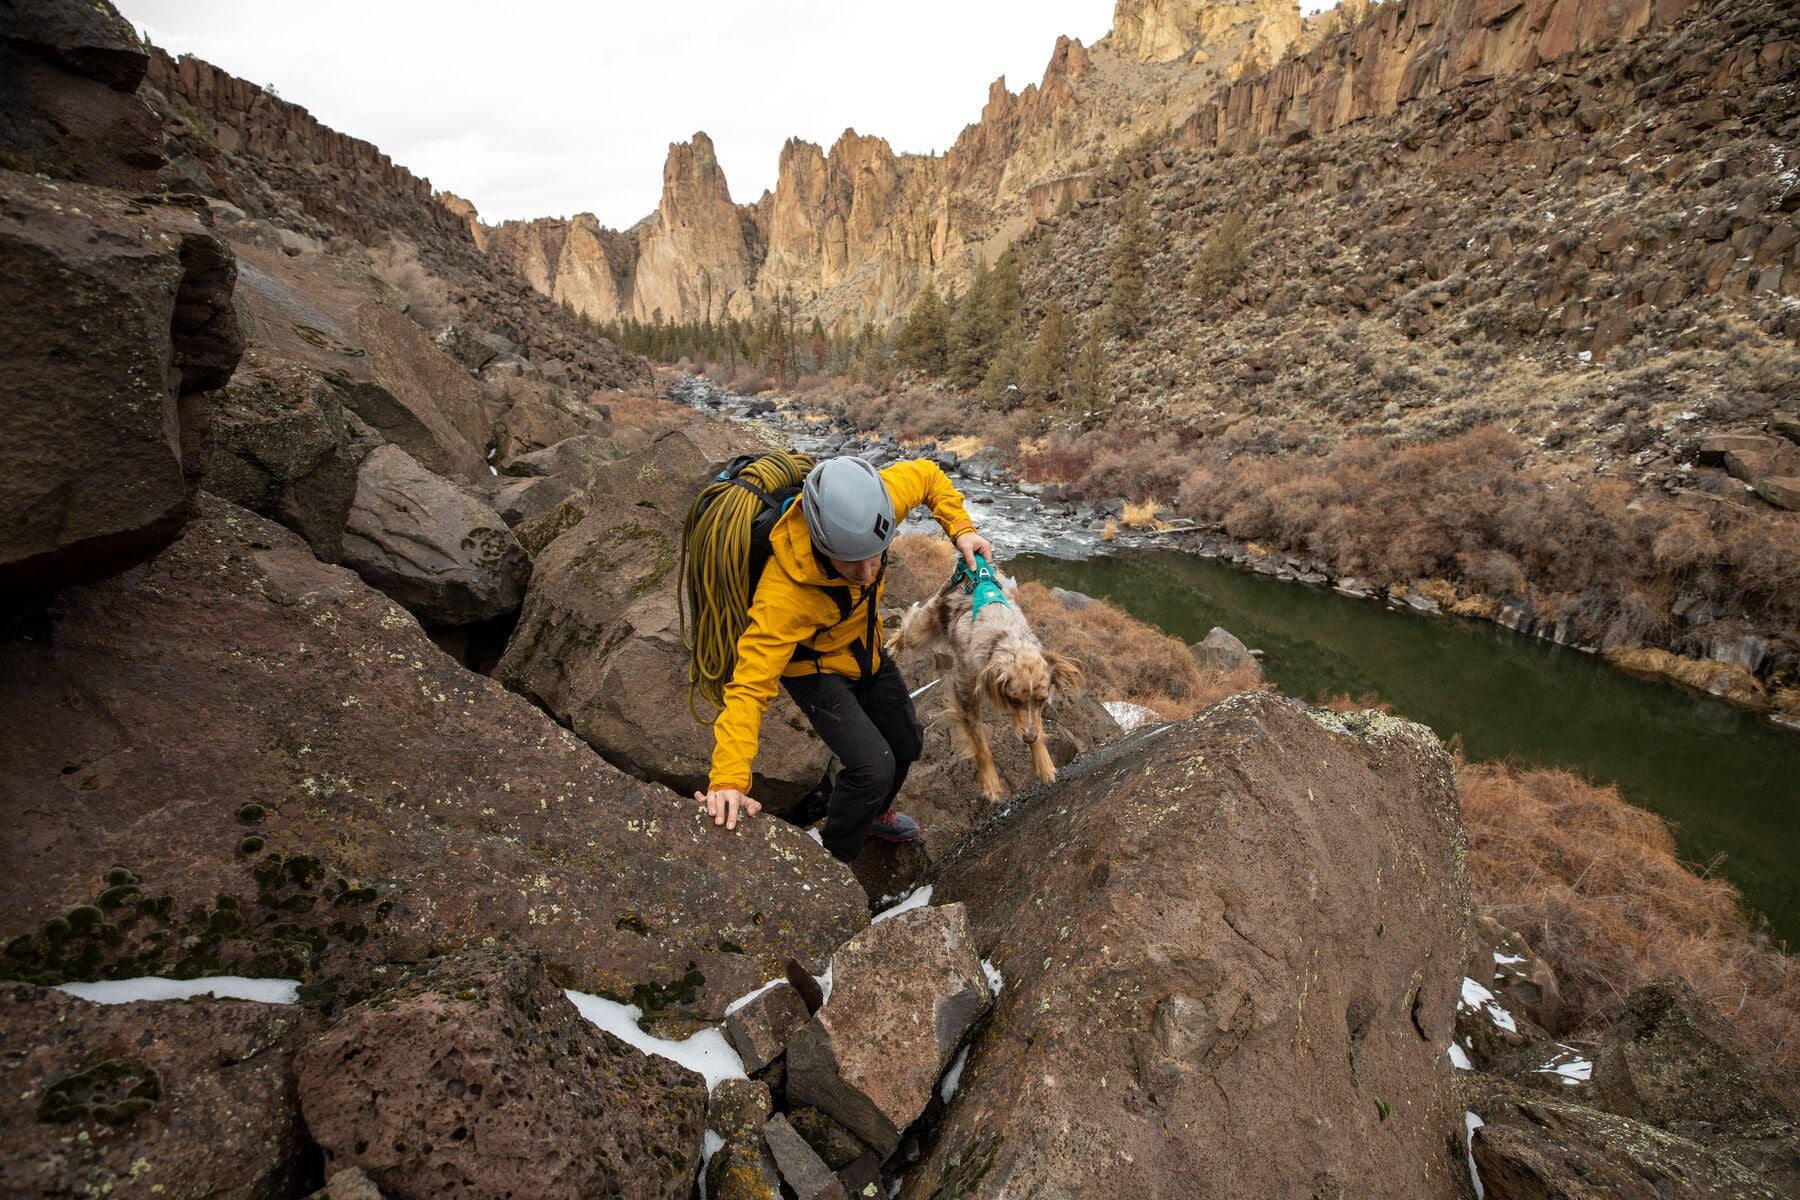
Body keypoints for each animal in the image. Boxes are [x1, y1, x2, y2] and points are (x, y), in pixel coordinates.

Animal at [885, 572, 1080, 802]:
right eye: (1013, 700)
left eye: (1042, 700)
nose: (1028, 738)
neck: (1006, 640)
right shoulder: (965, 694)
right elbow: (981, 745)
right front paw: (991, 784)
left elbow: (1038, 726)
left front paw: (1044, 763)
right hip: (920, 631)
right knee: (910, 621)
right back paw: (893, 646)